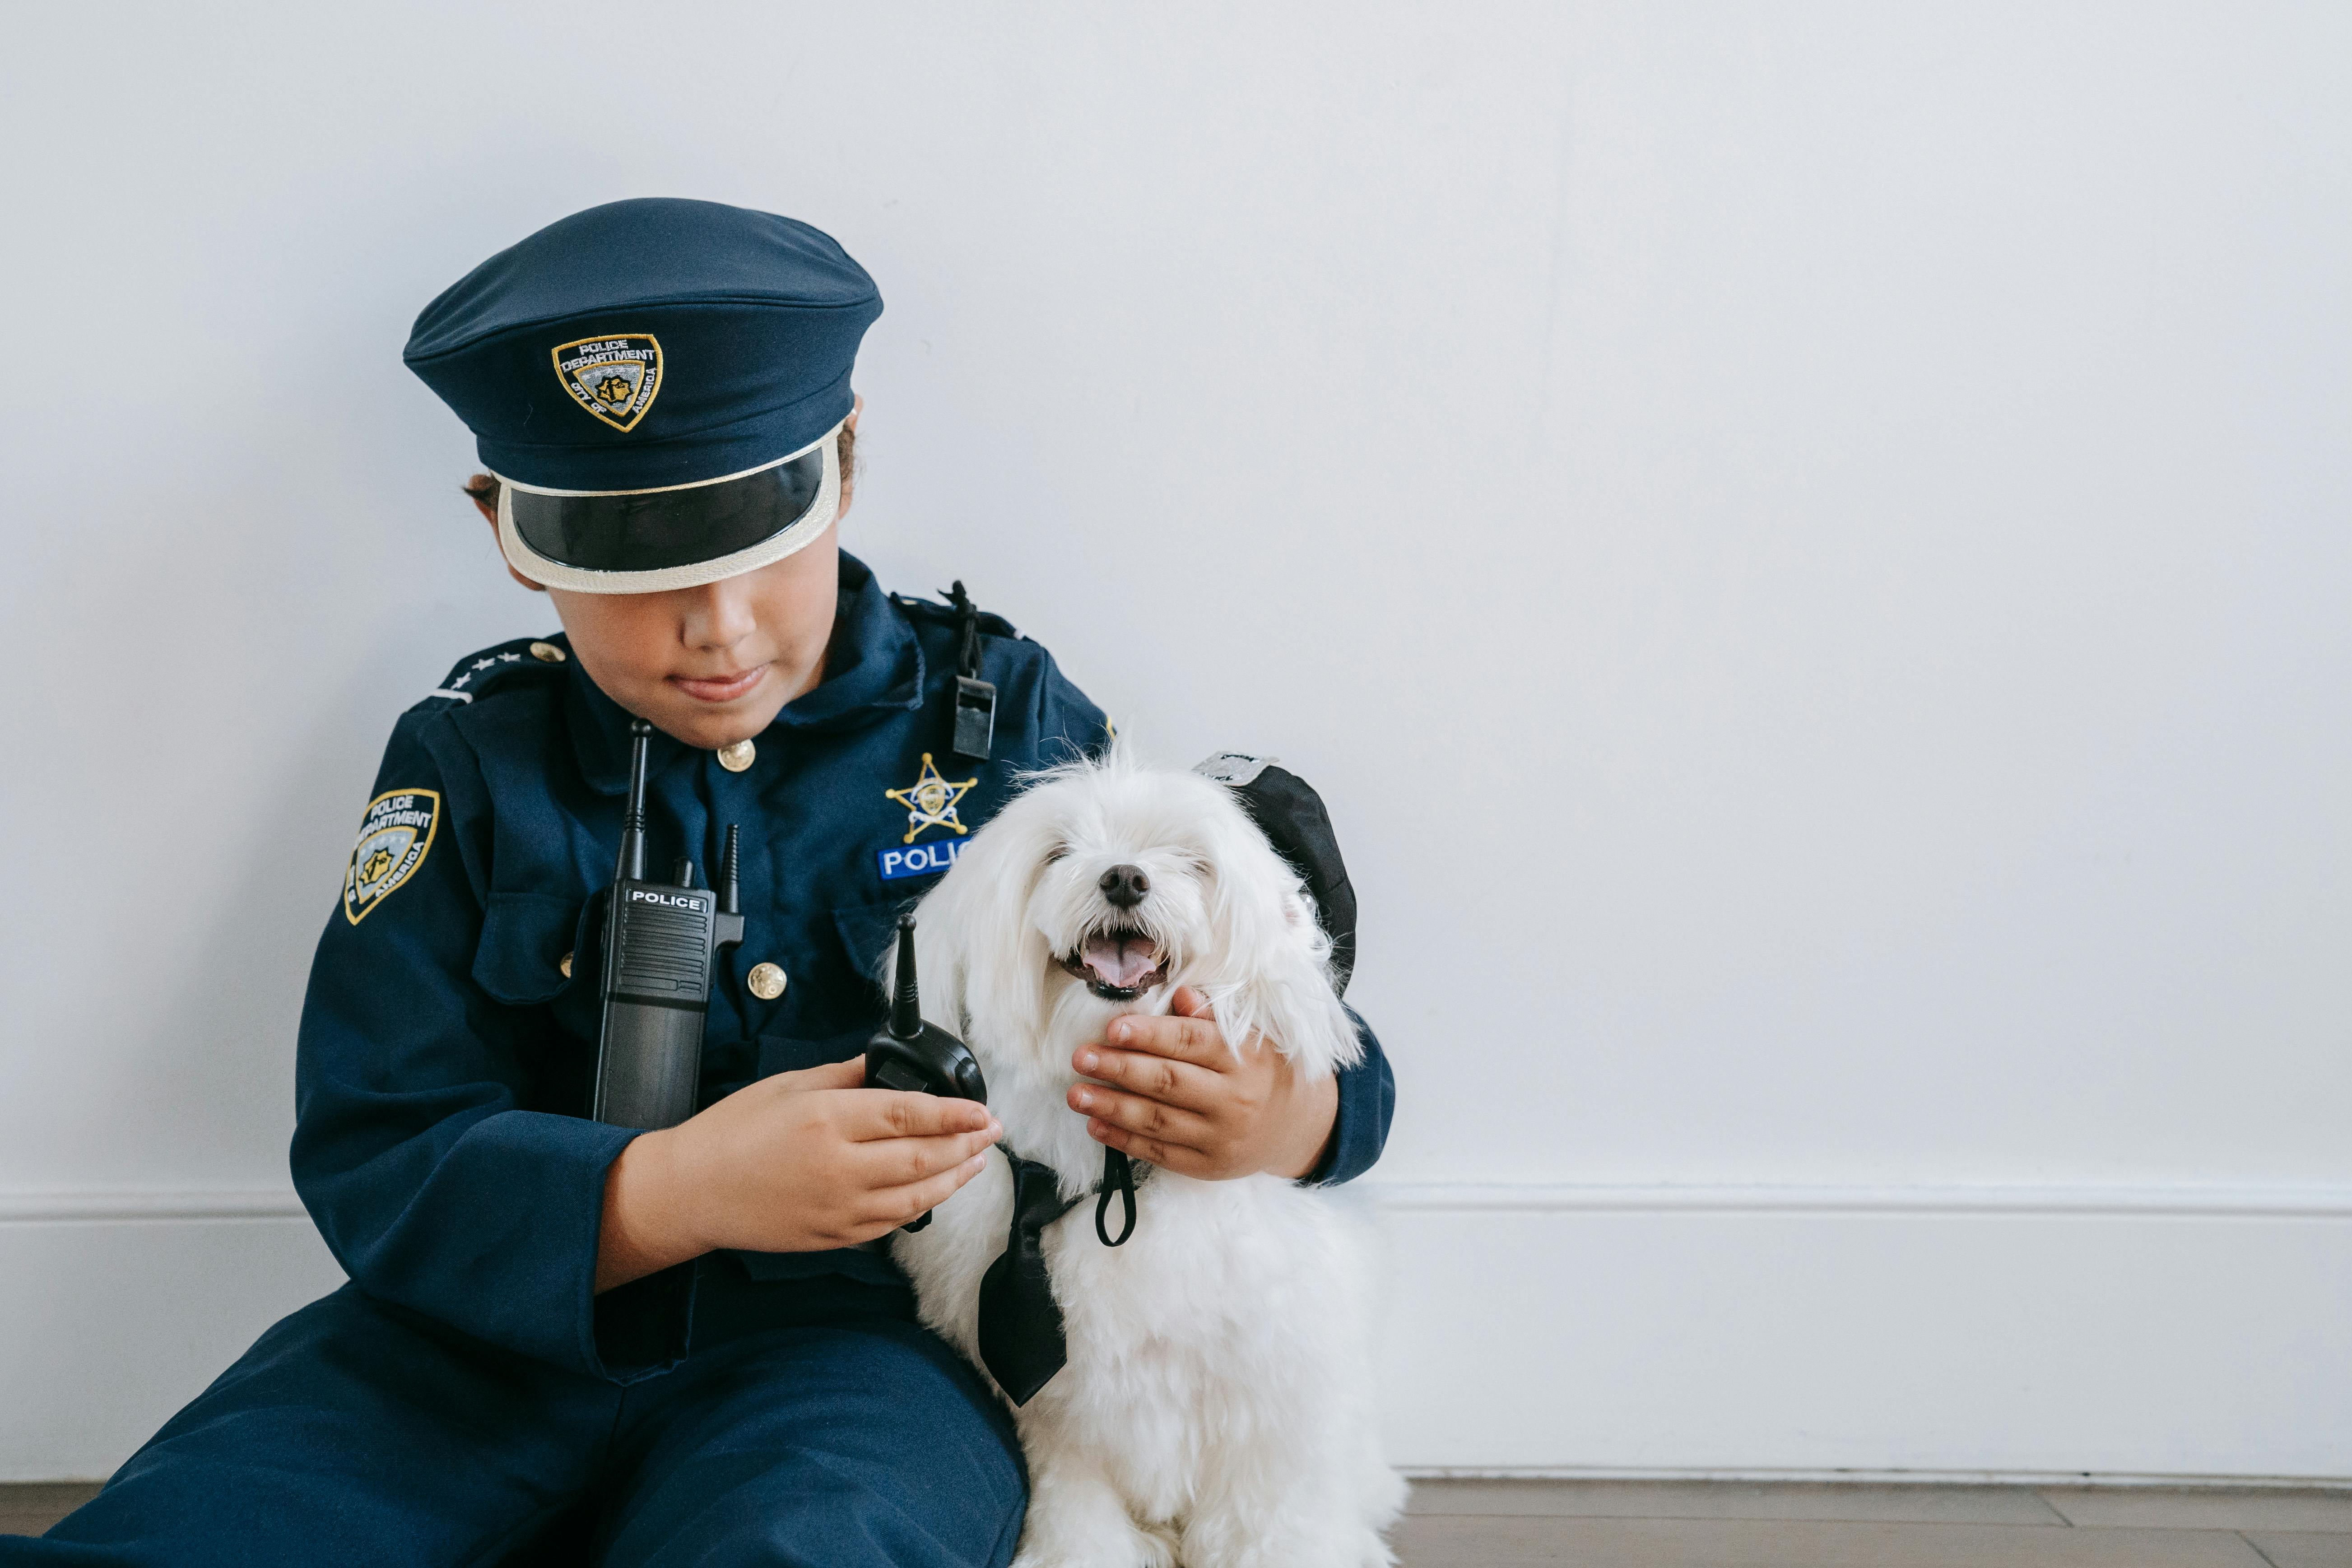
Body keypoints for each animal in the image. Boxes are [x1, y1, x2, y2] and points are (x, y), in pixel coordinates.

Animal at [884, 752, 1392, 1561]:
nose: (1123, 877)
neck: (1110, 1168)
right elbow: (1076, 1501)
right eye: (1059, 853)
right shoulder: (1060, 1415)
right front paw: (1076, 1550)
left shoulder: (1274, 1390)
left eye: (1191, 862)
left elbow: (1269, 1510)